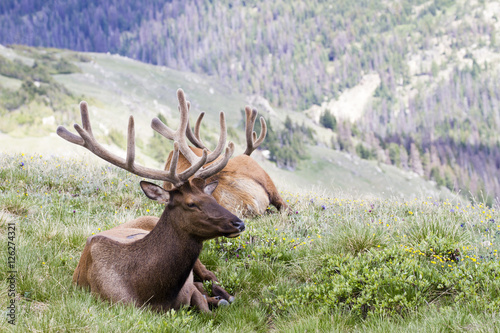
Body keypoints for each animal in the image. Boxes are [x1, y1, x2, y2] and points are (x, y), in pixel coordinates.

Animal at [56, 91, 244, 312]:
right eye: (191, 203)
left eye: (210, 197)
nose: (239, 223)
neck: (151, 293)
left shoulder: (189, 290)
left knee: (211, 277)